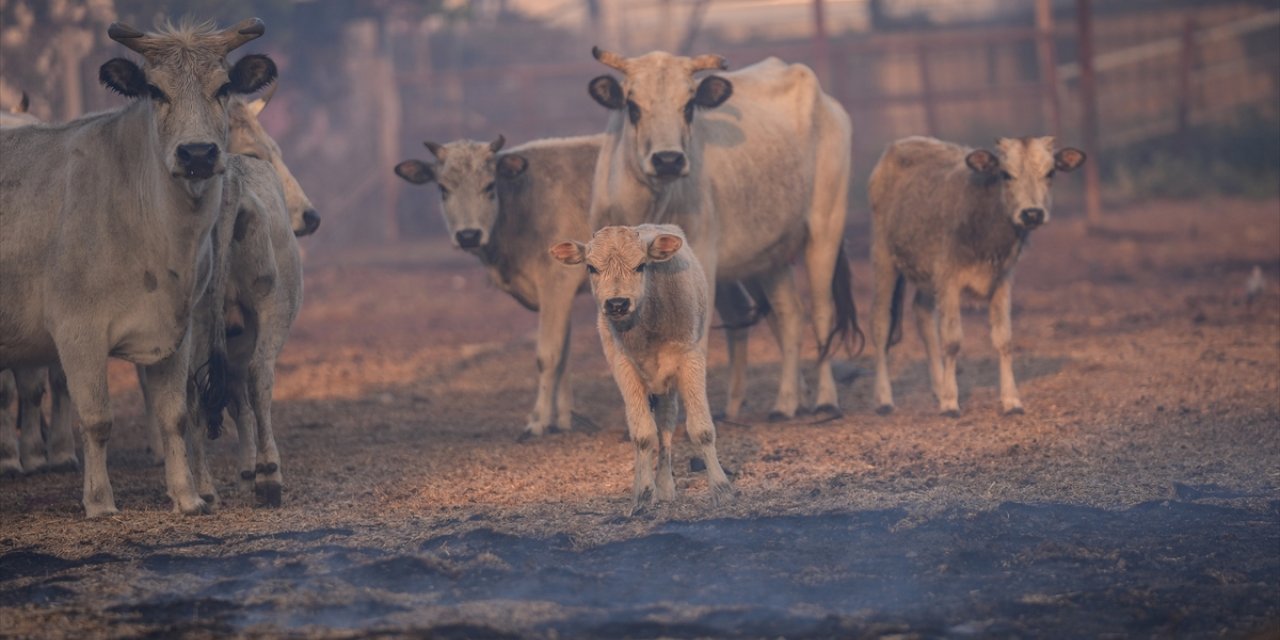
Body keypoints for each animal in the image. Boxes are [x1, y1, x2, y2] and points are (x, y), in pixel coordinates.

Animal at [0, 20, 277, 517]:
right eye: (155, 90)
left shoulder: (178, 329)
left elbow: (174, 414)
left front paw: (187, 496)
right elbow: (96, 419)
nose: (197, 154)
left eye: (223, 87)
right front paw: (99, 502)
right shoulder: (76, 329)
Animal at [547, 225, 732, 514]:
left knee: (666, 426)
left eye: (641, 265)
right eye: (591, 267)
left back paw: (666, 488)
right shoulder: (623, 369)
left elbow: (701, 429)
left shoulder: (691, 360)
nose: (617, 303)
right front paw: (643, 495)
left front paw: (722, 490)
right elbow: (642, 434)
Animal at [586, 51, 860, 419]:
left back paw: (825, 400)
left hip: (825, 229)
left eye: (689, 106)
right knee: (789, 314)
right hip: (768, 259)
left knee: (820, 311)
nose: (668, 159)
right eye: (633, 105)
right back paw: (786, 402)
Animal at [865, 135, 1085, 414]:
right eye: (1005, 174)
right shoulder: (948, 278)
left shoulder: (1002, 279)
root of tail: (901, 144)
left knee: (922, 313)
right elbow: (952, 340)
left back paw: (938, 386)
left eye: (1051, 172)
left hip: (926, 273)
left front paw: (1011, 400)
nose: (1032, 213)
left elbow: (1004, 339)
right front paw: (950, 402)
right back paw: (884, 398)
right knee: (880, 323)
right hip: (883, 256)